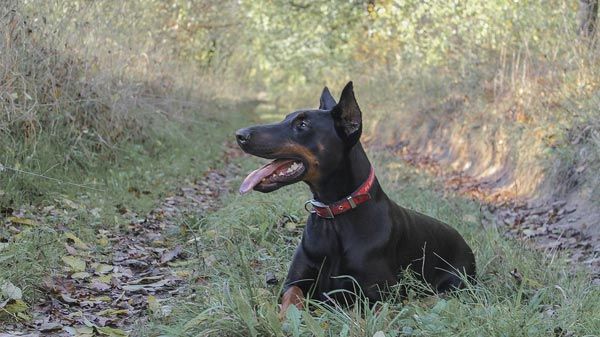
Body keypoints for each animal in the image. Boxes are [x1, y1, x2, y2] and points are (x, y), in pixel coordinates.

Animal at [237, 82, 476, 316]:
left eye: (302, 125)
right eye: (286, 118)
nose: (239, 134)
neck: (335, 213)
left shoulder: (382, 296)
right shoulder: (294, 281)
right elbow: (291, 298)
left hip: (456, 284)